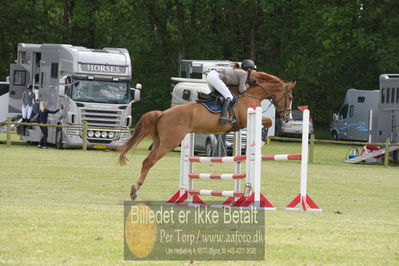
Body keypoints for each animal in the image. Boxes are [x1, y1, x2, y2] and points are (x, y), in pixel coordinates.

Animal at [117, 71, 296, 201]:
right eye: (290, 97)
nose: (288, 118)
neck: (251, 95)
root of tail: (163, 113)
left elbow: (267, 122)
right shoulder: (246, 119)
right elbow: (268, 121)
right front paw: (263, 139)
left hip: (159, 142)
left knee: (146, 161)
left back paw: (137, 189)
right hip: (169, 143)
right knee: (149, 161)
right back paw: (135, 190)